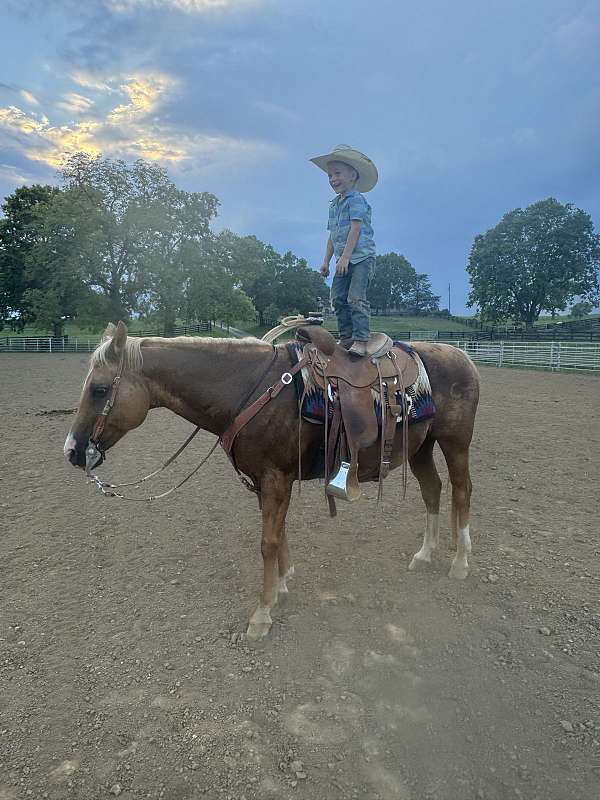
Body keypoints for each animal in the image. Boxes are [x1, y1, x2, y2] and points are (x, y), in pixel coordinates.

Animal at [64, 322, 478, 640]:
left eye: (99, 389)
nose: (72, 450)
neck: (249, 389)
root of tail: (463, 358)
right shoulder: (266, 480)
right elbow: (278, 533)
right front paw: (281, 585)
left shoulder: (276, 476)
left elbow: (267, 542)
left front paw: (261, 615)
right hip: (421, 447)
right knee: (432, 490)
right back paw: (424, 554)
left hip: (455, 443)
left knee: (461, 491)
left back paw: (460, 562)